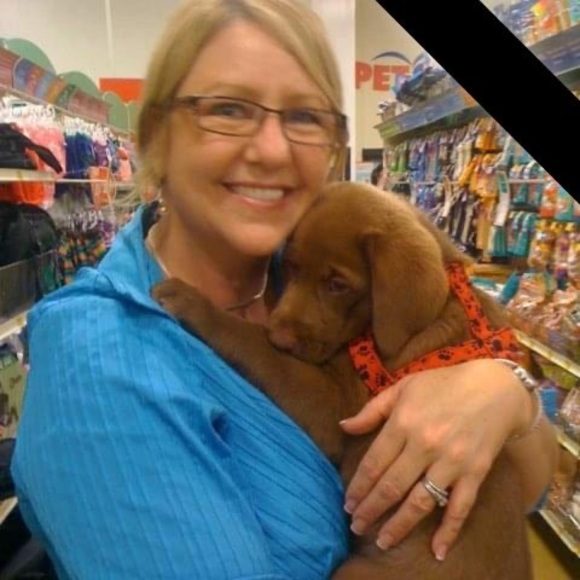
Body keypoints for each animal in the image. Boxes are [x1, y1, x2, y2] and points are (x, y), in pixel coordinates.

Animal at [152, 182, 534, 579]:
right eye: (291, 267)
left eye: (337, 285)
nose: (281, 338)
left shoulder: (337, 406)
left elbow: (255, 344)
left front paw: (192, 302)